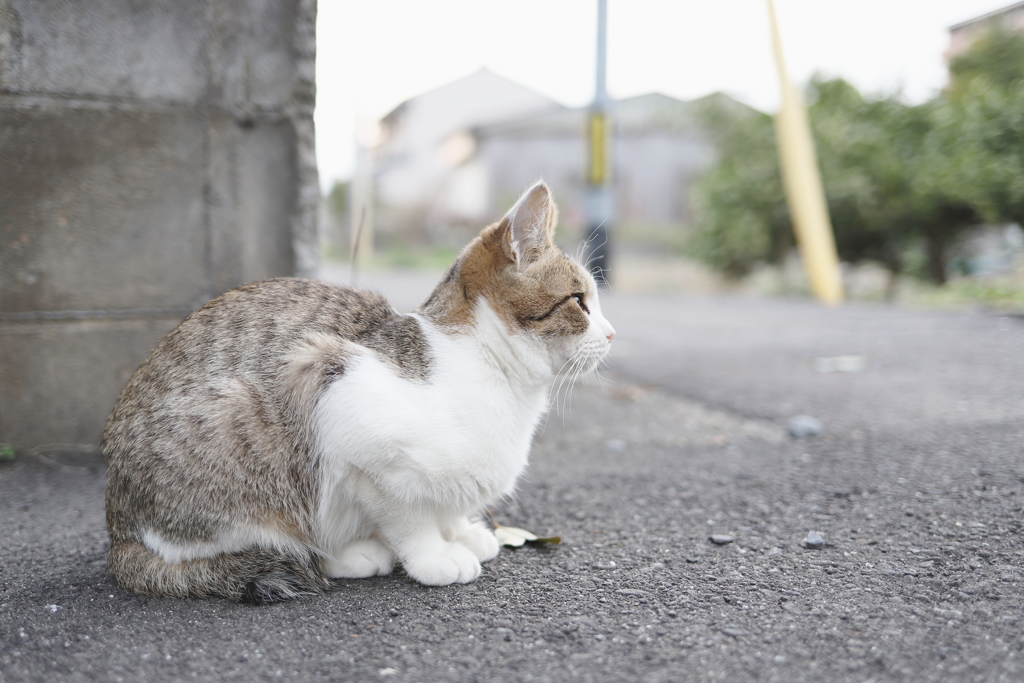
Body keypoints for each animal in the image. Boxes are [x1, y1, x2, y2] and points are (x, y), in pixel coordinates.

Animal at [101, 180, 614, 602]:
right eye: (579, 301)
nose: (611, 334)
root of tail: (118, 532)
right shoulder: (348, 415)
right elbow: (409, 518)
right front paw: (434, 556)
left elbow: (445, 506)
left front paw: (459, 532)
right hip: (248, 435)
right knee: (283, 543)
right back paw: (353, 554)